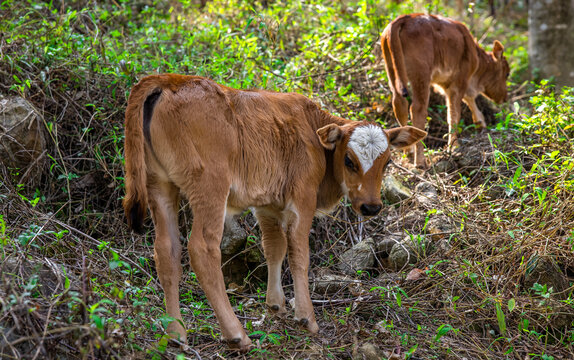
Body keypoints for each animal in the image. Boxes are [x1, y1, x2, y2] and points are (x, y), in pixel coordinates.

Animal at [122, 74, 428, 352]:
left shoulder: (266, 206)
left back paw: (176, 334)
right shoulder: (302, 200)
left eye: (387, 162)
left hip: (160, 187)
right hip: (210, 189)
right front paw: (305, 317)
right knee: (202, 249)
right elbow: (299, 256)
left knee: (167, 251)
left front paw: (275, 305)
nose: (371, 206)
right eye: (349, 160)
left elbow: (274, 248)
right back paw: (236, 335)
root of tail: (169, 80)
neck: (312, 129)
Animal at [382, 13, 512, 167]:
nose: (505, 97)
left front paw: (481, 123)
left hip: (392, 72)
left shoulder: (446, 84)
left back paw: (408, 151)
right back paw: (420, 162)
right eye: (507, 73)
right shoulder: (458, 83)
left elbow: (467, 101)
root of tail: (405, 18)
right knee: (417, 110)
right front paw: (453, 147)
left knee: (399, 105)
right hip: (421, 76)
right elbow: (453, 115)